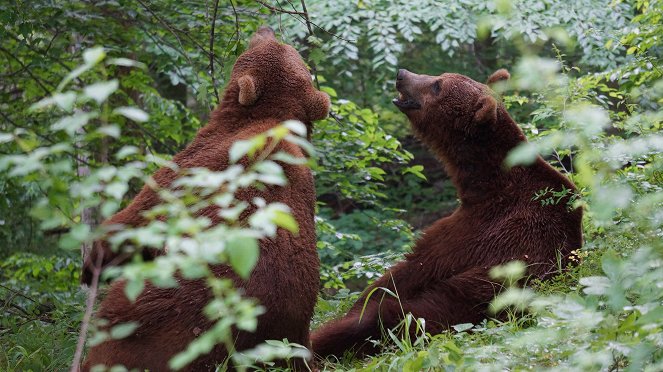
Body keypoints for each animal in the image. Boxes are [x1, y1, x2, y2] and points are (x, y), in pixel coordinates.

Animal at [83, 26, 332, 372]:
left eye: (263, 44)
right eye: (284, 45)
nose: (265, 28)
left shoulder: (197, 165)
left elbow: (138, 216)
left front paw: (93, 262)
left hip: (154, 314)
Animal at [310, 67, 580, 358]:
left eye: (437, 85)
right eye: (441, 76)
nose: (402, 74)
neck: (489, 182)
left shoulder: (479, 230)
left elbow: (410, 269)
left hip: (471, 297)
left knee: (387, 320)